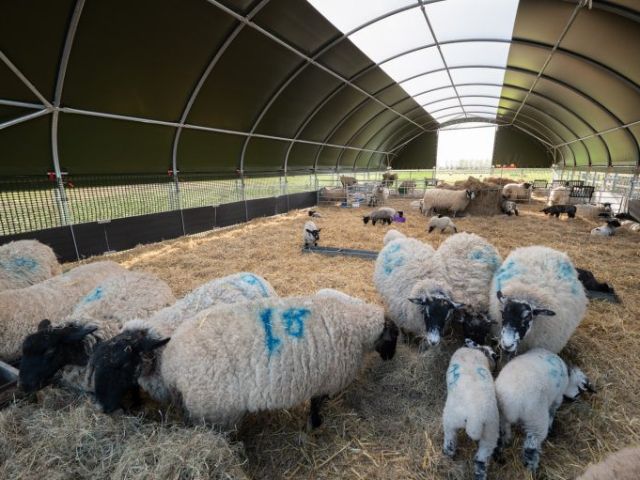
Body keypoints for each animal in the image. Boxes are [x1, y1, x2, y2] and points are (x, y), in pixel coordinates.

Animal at [90, 294, 399, 426]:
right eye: (394, 337)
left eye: (121, 364)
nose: (103, 408)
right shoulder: (326, 379)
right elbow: (316, 404)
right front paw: (316, 424)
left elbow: (316, 403)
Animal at [443, 340, 500, 480]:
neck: (477, 351)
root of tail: (476, 418)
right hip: (491, 431)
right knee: (481, 460)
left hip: (450, 420)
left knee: (450, 443)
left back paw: (446, 459)